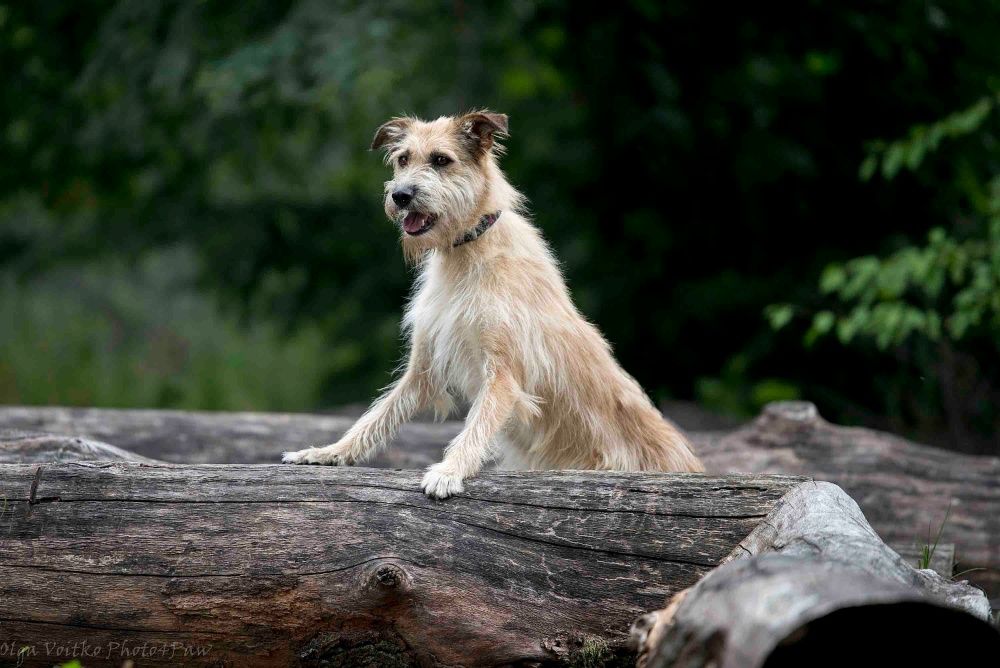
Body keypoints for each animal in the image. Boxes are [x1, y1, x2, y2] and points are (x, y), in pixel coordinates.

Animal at [284, 109, 704, 496]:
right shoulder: (424, 367)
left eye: (441, 160)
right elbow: (377, 416)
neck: (465, 252)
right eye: (402, 159)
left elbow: (477, 425)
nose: (400, 195)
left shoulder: (502, 373)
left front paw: (449, 471)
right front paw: (329, 452)